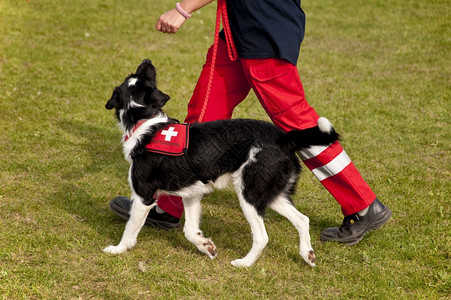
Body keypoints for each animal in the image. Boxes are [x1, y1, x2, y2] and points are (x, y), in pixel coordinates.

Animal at [103, 58, 340, 268]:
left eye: (143, 77)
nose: (147, 60)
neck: (145, 123)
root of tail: (283, 138)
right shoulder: (191, 194)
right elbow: (190, 230)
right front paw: (206, 246)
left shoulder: (143, 196)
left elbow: (130, 229)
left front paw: (118, 249)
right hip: (272, 194)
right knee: (302, 220)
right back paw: (307, 254)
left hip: (249, 195)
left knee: (262, 236)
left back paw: (244, 263)